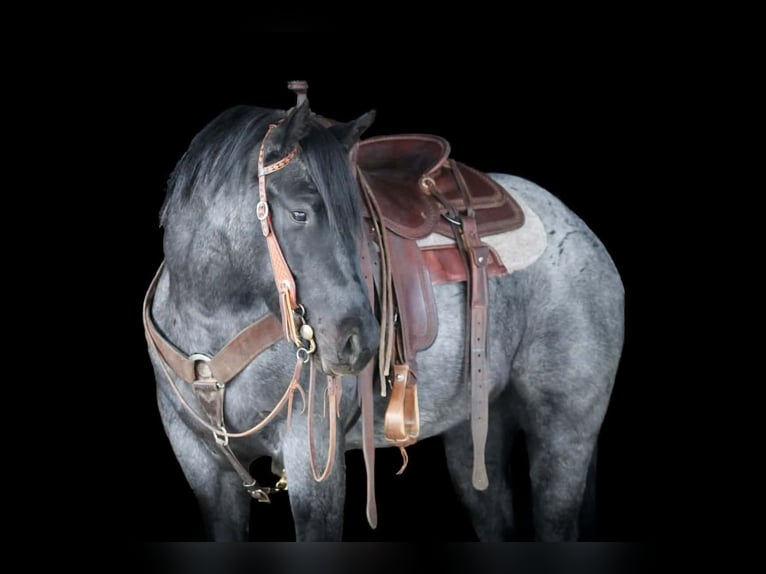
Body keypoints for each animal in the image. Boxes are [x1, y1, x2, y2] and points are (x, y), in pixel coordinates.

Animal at [143, 94, 624, 542]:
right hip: (480, 430)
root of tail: (580, 230)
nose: (360, 343)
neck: (212, 326)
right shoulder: (204, 469)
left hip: (564, 434)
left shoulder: (312, 461)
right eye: (300, 213)